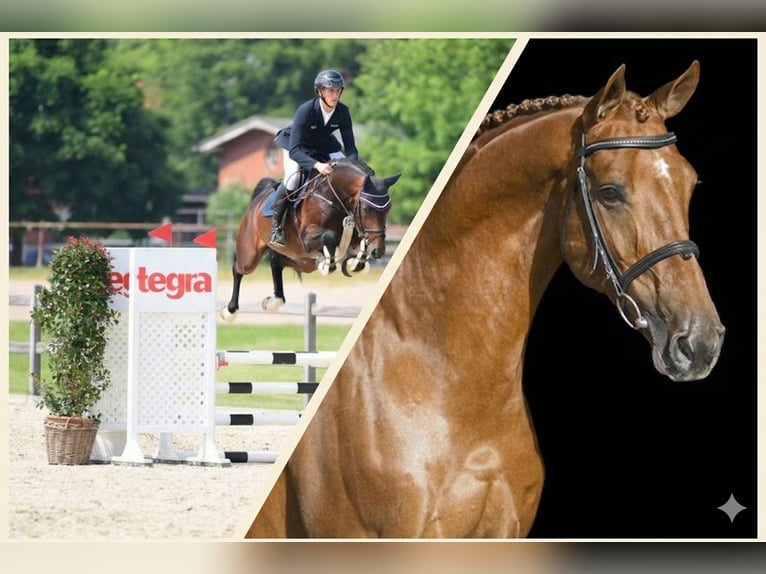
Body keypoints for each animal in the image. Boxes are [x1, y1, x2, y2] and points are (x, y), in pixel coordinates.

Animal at [220, 158, 400, 319]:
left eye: (389, 208)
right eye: (366, 209)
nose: (379, 251)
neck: (334, 196)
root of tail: (257, 201)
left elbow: (360, 242)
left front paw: (354, 262)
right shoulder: (307, 238)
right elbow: (332, 237)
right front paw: (328, 263)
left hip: (299, 259)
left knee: (276, 262)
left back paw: (273, 301)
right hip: (250, 254)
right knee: (238, 269)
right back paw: (229, 311)